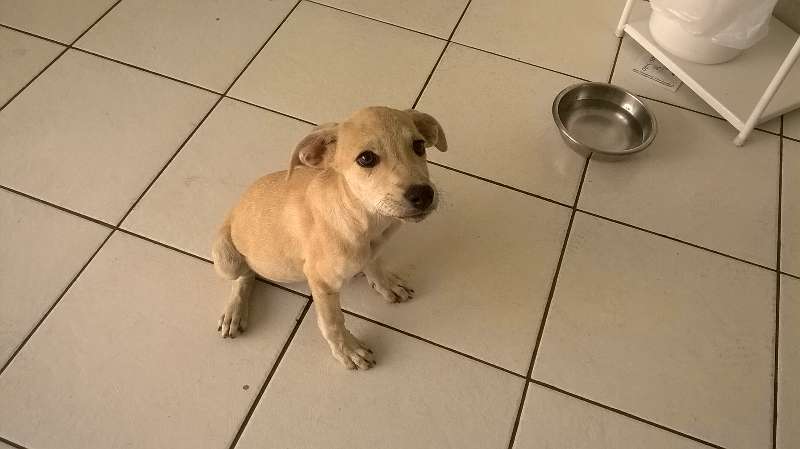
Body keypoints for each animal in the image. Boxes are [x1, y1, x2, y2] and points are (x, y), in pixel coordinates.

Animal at [211, 106, 447, 369]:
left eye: (419, 145)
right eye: (366, 158)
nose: (424, 194)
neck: (364, 216)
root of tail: (233, 210)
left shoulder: (375, 248)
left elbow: (375, 263)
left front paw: (385, 283)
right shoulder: (321, 282)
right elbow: (333, 321)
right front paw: (349, 350)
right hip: (226, 258)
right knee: (244, 275)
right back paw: (235, 310)